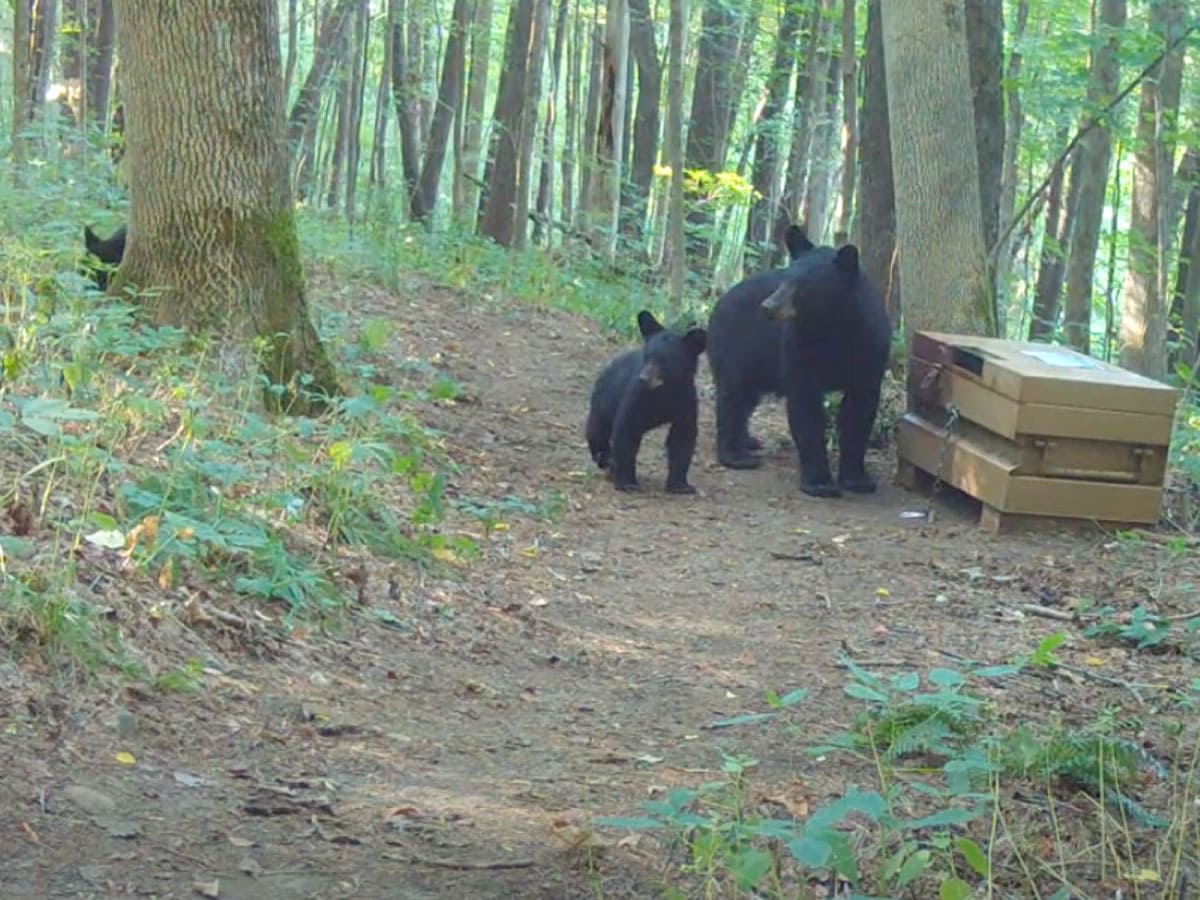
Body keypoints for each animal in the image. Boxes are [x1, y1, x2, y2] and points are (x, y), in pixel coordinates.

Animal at [585, 309, 705, 494]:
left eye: (666, 360)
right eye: (648, 355)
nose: (644, 378)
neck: (664, 392)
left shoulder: (686, 402)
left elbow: (682, 438)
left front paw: (681, 486)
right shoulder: (637, 397)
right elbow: (626, 431)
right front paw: (627, 483)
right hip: (602, 403)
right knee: (597, 430)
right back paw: (606, 460)